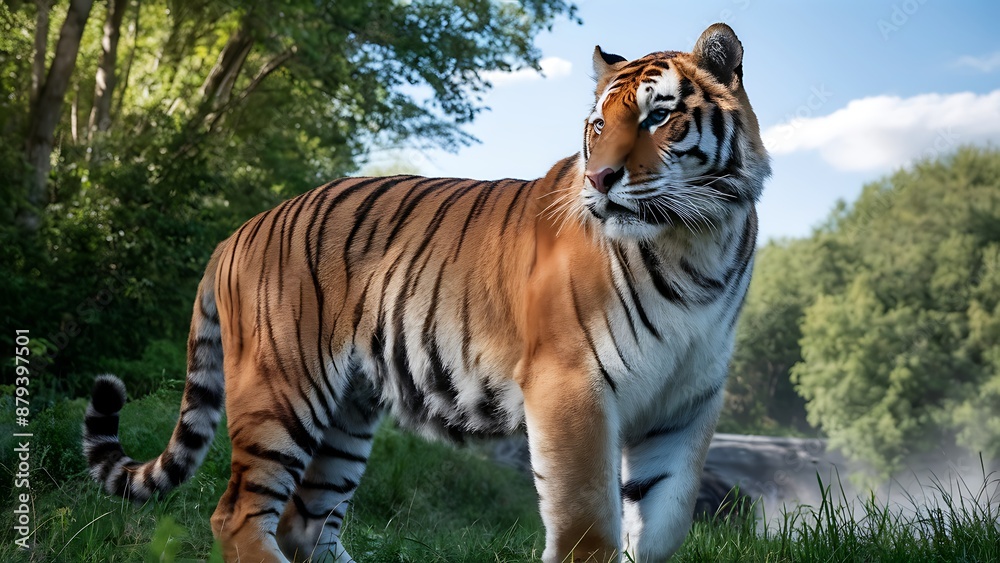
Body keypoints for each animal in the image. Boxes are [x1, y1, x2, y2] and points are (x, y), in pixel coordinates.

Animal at [83, 23, 769, 563]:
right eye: (599, 124)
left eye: (659, 115)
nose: (600, 178)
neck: (695, 241)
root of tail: (237, 231)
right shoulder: (572, 386)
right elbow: (586, 527)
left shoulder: (687, 402)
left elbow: (664, 522)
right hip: (280, 390)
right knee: (238, 514)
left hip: (348, 412)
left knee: (304, 520)